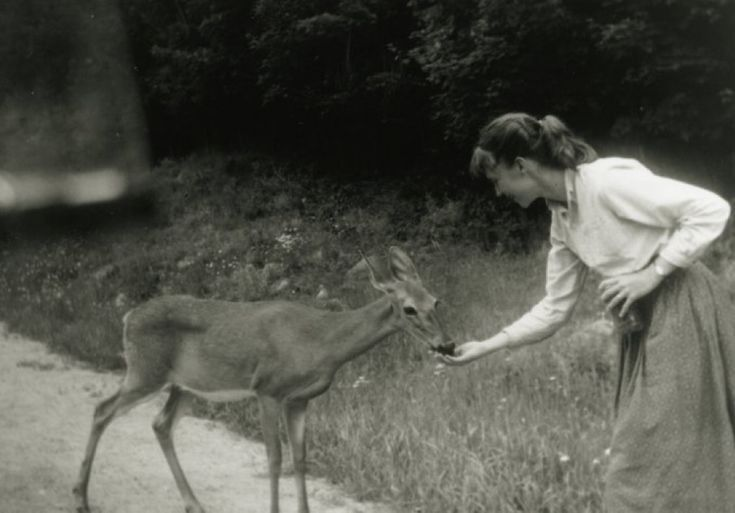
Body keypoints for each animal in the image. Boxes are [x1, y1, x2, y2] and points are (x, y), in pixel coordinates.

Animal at [73, 246, 454, 513]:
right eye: (409, 309)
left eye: (436, 301)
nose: (447, 344)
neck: (322, 342)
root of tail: (128, 316)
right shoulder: (268, 389)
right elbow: (274, 458)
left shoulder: (300, 399)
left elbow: (300, 458)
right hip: (145, 371)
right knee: (102, 409)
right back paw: (81, 498)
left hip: (185, 385)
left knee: (160, 424)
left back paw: (193, 503)